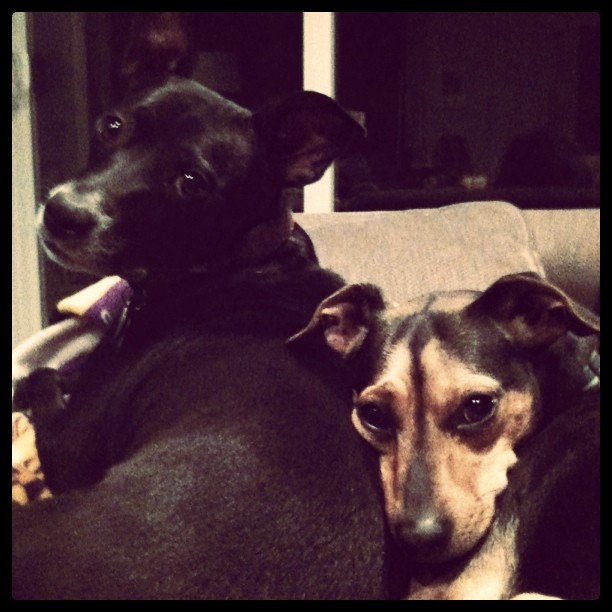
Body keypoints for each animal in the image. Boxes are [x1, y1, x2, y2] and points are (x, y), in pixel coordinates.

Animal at [13, 15, 388, 604]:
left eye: (191, 183)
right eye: (112, 126)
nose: (63, 214)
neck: (235, 264)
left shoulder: (69, 446)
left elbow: (48, 380)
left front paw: (42, 382)